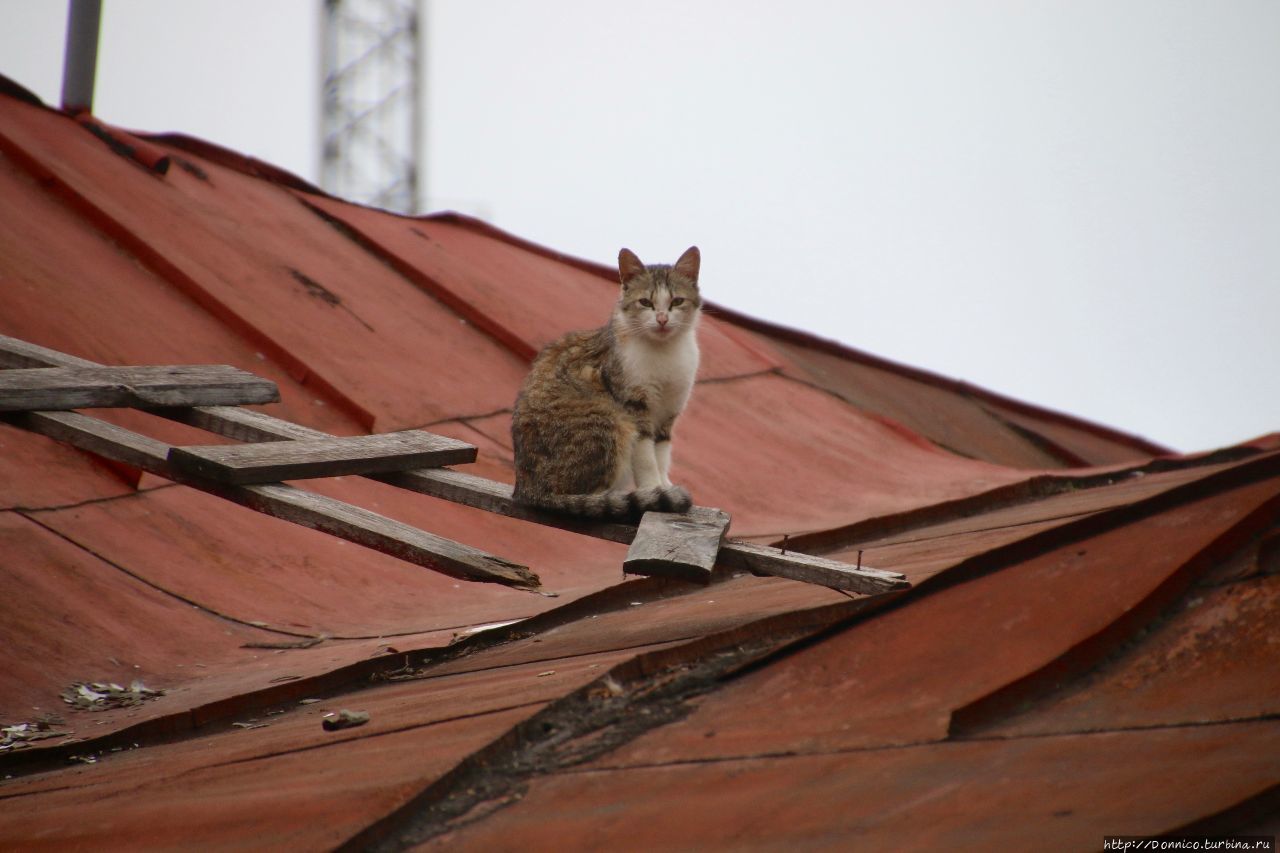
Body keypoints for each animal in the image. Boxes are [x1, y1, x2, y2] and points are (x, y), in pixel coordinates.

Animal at [512, 242, 706, 514]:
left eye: (677, 301)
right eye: (645, 302)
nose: (662, 319)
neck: (665, 352)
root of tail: (529, 490)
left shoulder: (669, 410)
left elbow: (662, 452)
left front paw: (665, 485)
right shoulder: (634, 404)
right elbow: (646, 457)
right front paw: (653, 489)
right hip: (610, 421)